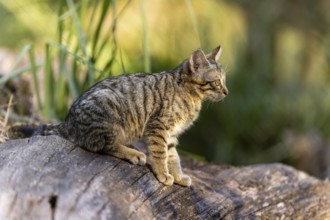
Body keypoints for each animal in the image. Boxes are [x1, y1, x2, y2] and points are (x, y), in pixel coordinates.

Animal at [25, 46, 228, 186]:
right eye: (217, 82)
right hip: (109, 112)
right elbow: (160, 153)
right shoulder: (158, 128)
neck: (190, 95)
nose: (226, 92)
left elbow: (173, 157)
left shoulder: (171, 134)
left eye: (224, 80)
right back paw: (133, 154)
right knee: (104, 146)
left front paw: (178, 176)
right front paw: (163, 173)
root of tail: (67, 122)